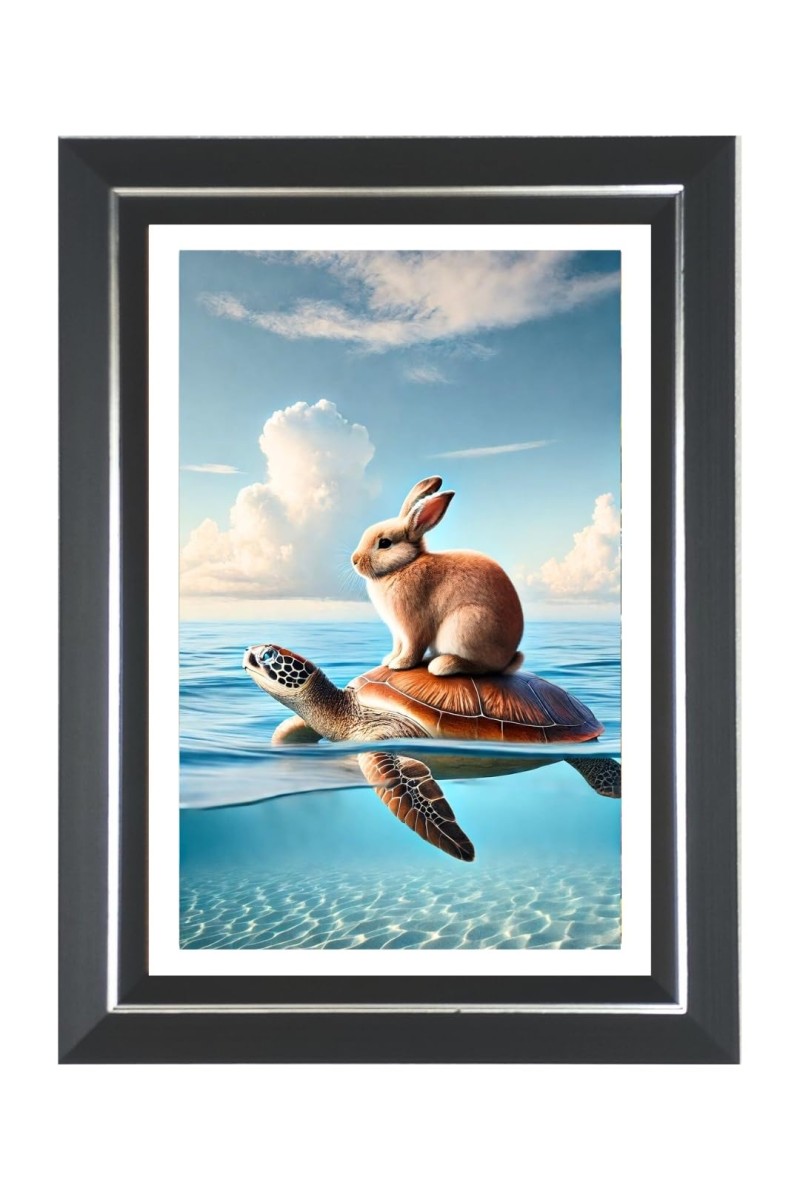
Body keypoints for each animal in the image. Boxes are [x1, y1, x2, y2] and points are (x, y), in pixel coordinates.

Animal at [351, 476, 524, 676]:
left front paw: (400, 664)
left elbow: (412, 647)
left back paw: (442, 665)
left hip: (466, 625)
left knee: (481, 667)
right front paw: (389, 660)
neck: (404, 564)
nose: (354, 560)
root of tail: (507, 660)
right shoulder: (397, 632)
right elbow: (398, 646)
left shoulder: (413, 627)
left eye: (385, 543)